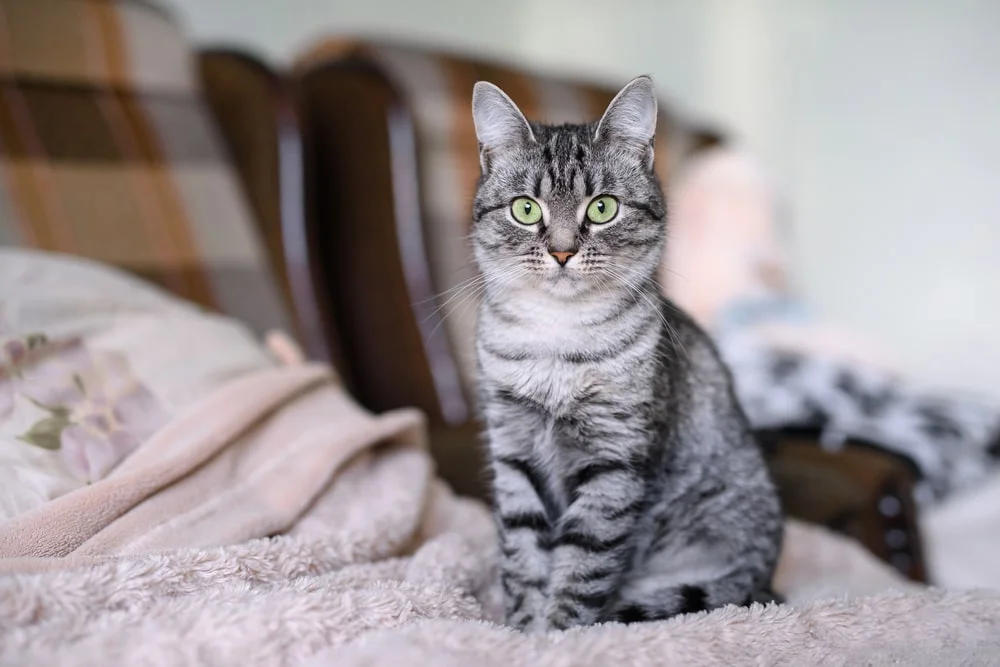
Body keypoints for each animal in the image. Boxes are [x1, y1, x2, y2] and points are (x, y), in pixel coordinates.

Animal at [472, 75, 784, 636]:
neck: (555, 343)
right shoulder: (513, 451)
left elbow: (582, 565)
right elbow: (523, 555)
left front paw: (555, 636)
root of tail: (763, 571)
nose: (563, 251)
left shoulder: (615, 463)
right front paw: (523, 629)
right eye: (526, 209)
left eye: (602, 208)